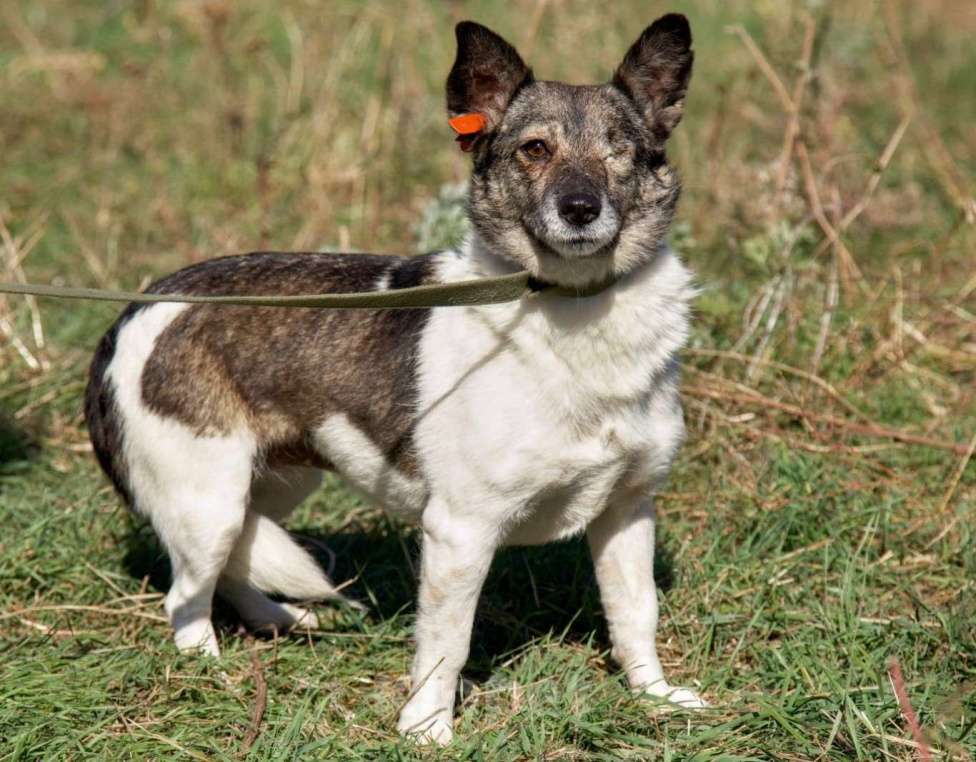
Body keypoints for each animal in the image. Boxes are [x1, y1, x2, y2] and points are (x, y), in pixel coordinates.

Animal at [86, 11, 700, 744]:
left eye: (621, 151)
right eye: (534, 149)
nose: (580, 208)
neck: (571, 306)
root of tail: (138, 308)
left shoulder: (627, 510)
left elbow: (636, 615)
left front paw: (654, 699)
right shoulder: (460, 531)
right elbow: (446, 643)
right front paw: (428, 729)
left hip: (278, 482)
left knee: (237, 561)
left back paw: (278, 618)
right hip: (207, 499)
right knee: (186, 597)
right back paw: (214, 671)